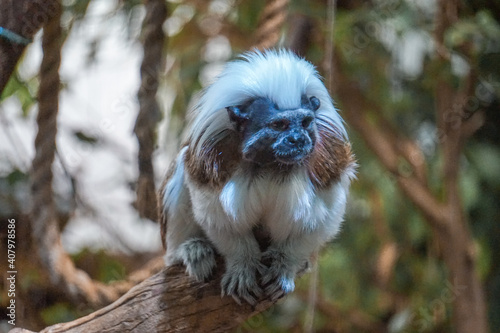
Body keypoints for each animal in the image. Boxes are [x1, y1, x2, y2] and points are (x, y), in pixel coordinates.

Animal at [160, 48, 356, 304]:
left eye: (305, 122)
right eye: (279, 125)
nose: (298, 140)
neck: (269, 164)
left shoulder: (329, 162)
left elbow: (322, 219)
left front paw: (285, 265)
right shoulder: (212, 160)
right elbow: (219, 219)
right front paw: (243, 267)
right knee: (180, 169)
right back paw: (191, 250)